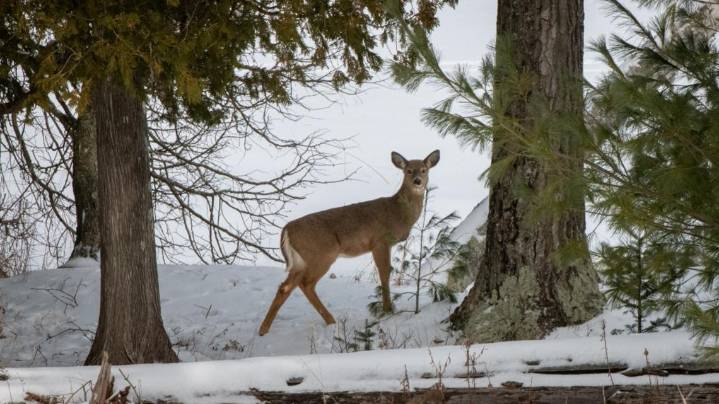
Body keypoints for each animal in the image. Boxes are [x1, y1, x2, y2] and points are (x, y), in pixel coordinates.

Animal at [258, 150, 440, 336]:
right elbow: (384, 274)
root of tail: (287, 229)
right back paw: (329, 320)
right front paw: (388, 309)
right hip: (322, 254)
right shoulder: (380, 241)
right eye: (408, 171)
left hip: (300, 260)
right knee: (305, 284)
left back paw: (264, 330)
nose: (417, 181)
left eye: (424, 170)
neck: (399, 213)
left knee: (286, 286)